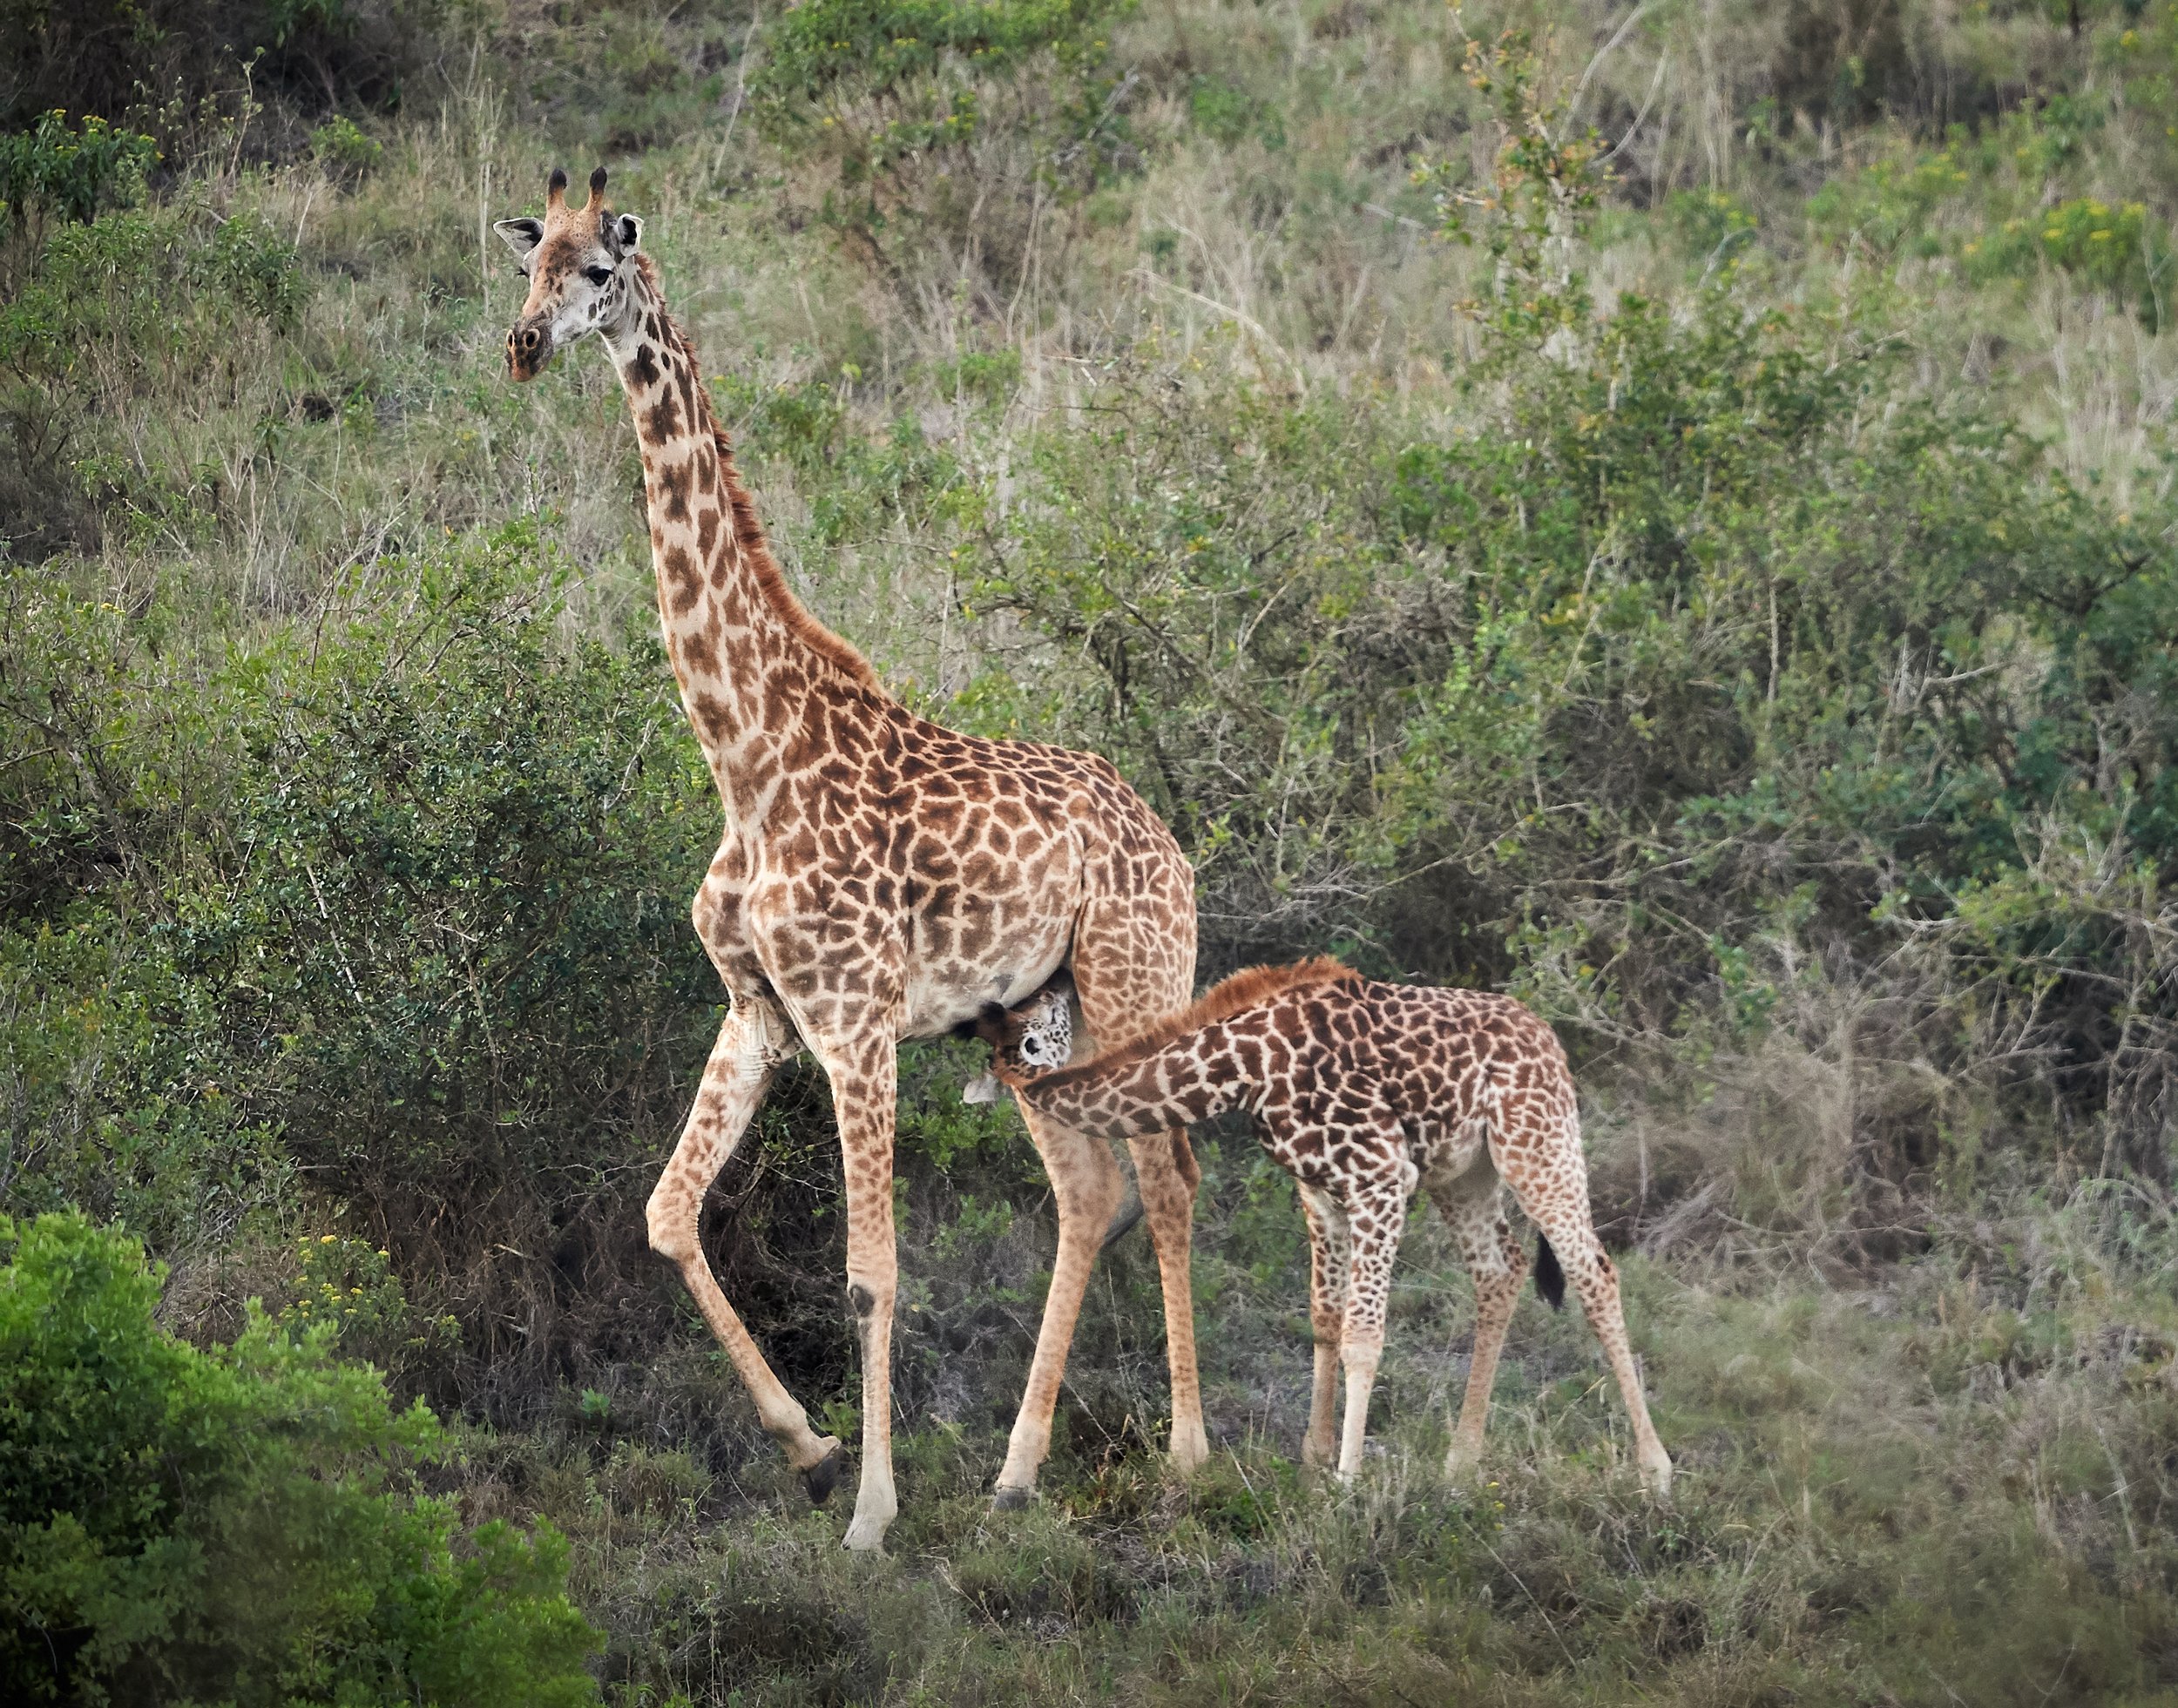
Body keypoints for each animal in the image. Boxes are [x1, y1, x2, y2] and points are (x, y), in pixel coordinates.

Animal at [494, 167, 1209, 1551]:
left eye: (598, 272)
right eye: (523, 265)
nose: (525, 346)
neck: (746, 755)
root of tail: (1171, 843)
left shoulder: (856, 1023)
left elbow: (872, 1275)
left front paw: (872, 1513)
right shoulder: (760, 1011)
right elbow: (666, 1212)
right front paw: (814, 1452)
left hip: (1136, 982)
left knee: (1169, 1175)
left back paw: (1194, 1459)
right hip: (1029, 1023)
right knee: (1092, 1189)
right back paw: (1016, 1473)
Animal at [970, 960, 1673, 1494]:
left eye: (1043, 1008)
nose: (1061, 980)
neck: (1243, 1070)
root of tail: (1550, 1040)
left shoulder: (1381, 1176)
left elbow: (1364, 1334)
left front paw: (1348, 1479)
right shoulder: (1321, 1191)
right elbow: (1325, 1321)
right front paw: (1315, 1460)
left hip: (1538, 1145)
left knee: (1594, 1272)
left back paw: (1655, 1471)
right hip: (1465, 1174)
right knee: (1501, 1272)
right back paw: (1460, 1465)